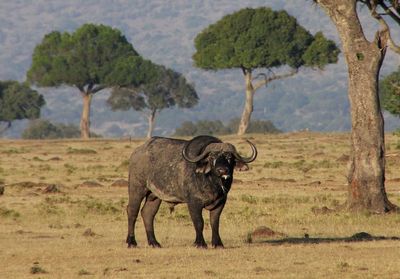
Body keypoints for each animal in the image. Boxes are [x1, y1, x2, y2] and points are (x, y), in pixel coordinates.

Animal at [126, 137, 258, 248]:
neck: (212, 183)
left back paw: (154, 242)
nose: (222, 170)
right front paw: (200, 243)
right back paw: (131, 242)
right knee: (132, 211)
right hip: (136, 189)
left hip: (154, 196)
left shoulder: (220, 203)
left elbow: (215, 222)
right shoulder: (194, 203)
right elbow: (199, 222)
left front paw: (218, 243)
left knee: (148, 213)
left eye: (229, 157)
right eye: (212, 157)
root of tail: (136, 152)